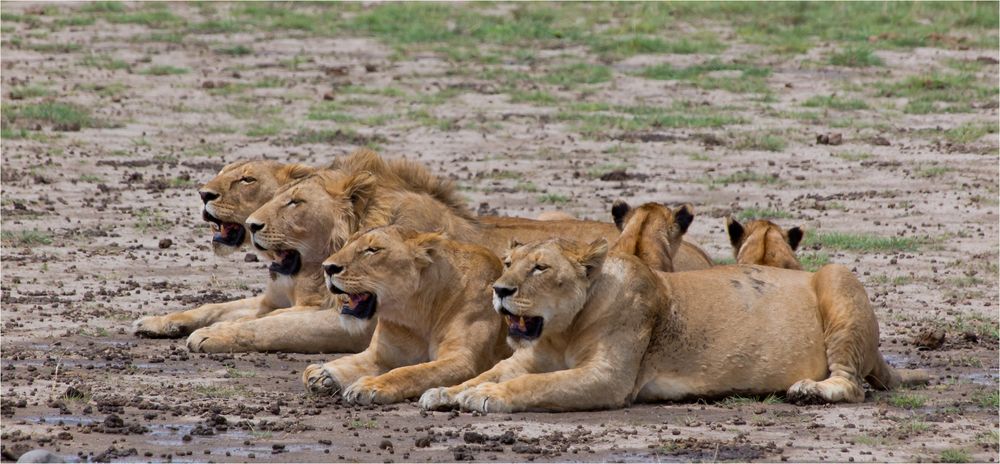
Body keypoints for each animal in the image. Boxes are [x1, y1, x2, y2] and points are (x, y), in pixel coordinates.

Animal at [296, 227, 508, 404]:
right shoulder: (379, 356)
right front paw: (322, 374)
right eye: (347, 244)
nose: (327, 267)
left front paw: (371, 385)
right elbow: (348, 363)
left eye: (372, 250)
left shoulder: (463, 360)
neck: (417, 316)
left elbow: (411, 372)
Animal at [420, 201, 920, 412]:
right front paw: (446, 392)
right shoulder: (524, 358)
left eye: (540, 268)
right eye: (508, 263)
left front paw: (485, 397)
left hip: (837, 276)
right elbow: (488, 372)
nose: (499, 290)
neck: (563, 329)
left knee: (852, 385)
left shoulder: (609, 379)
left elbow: (537, 386)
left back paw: (811, 391)